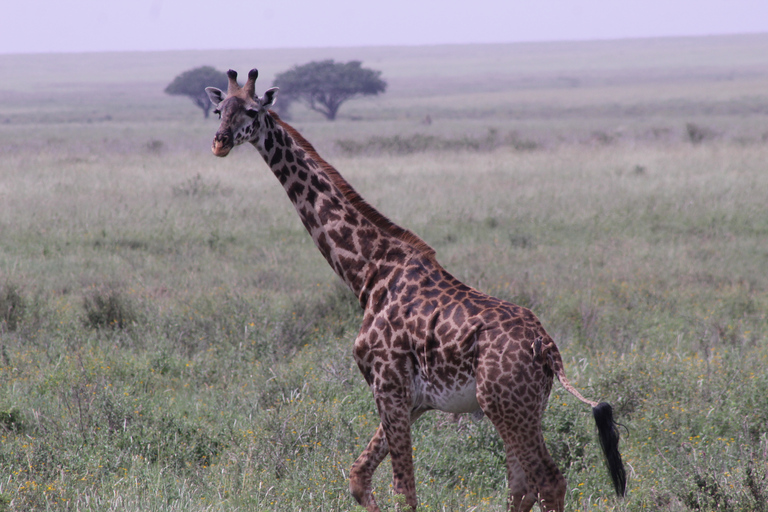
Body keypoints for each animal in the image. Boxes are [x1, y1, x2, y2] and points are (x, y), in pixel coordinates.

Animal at [206, 69, 624, 512]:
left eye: (252, 111)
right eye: (219, 110)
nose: (220, 142)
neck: (368, 271)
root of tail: (547, 348)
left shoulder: (388, 385)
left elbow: (404, 490)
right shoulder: (414, 399)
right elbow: (358, 477)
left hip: (506, 405)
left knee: (547, 480)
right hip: (521, 407)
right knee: (521, 484)